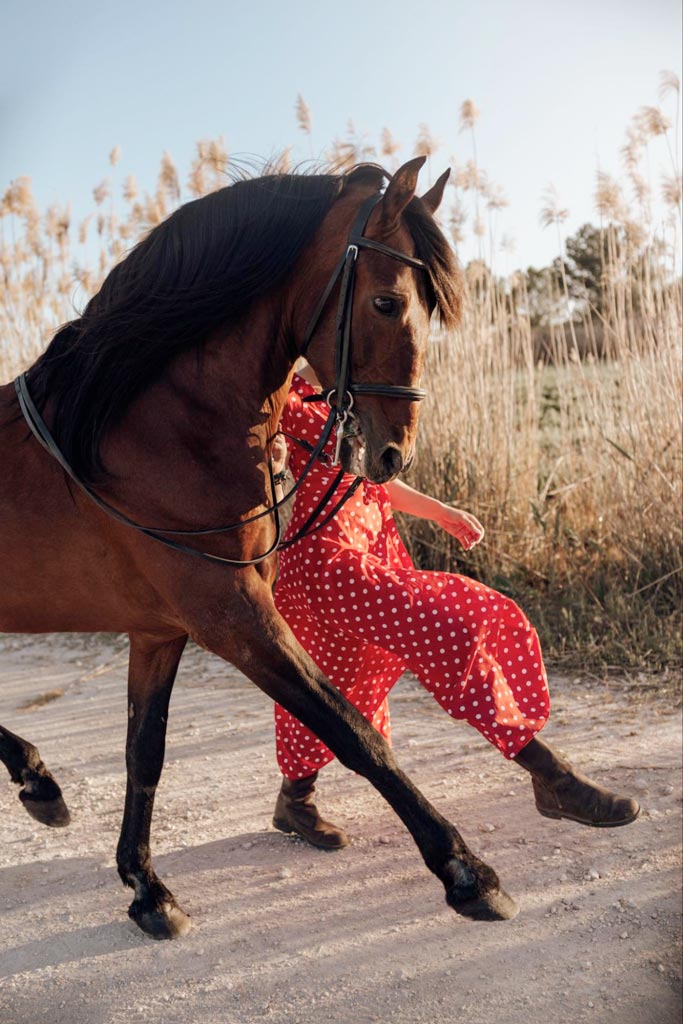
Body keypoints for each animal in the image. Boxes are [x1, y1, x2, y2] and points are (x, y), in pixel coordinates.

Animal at [0, 157, 518, 940]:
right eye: (388, 302)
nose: (393, 454)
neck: (143, 432)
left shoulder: (162, 630)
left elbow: (144, 752)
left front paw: (146, 887)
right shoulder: (234, 616)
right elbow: (351, 728)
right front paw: (466, 871)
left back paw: (38, 781)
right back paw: (36, 777)